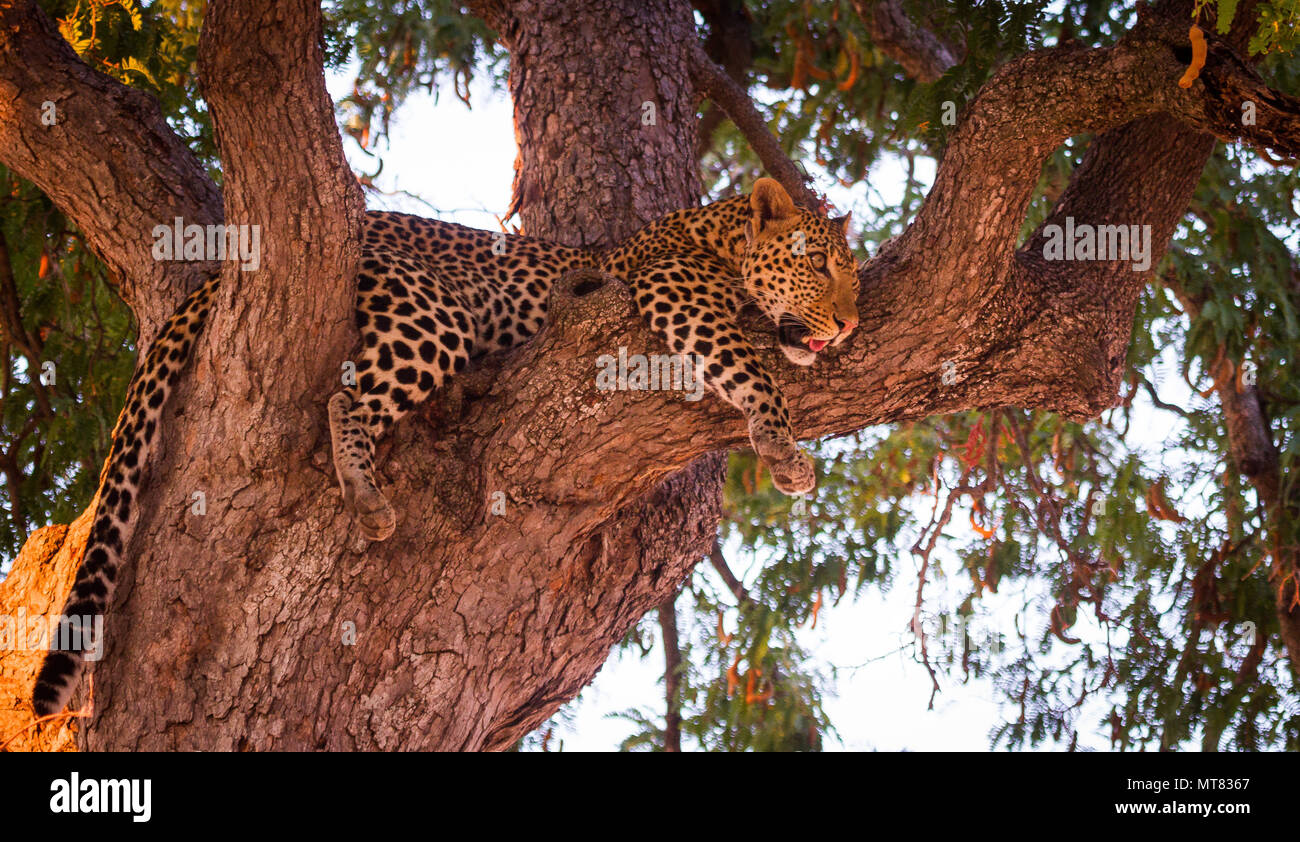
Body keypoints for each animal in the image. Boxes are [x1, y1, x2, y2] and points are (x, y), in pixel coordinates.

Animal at [31, 177, 859, 717]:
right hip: (433, 312)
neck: (713, 234)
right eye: (817, 263)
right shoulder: (675, 295)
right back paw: (367, 498)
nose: (851, 324)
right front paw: (782, 447)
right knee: (344, 398)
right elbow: (750, 367)